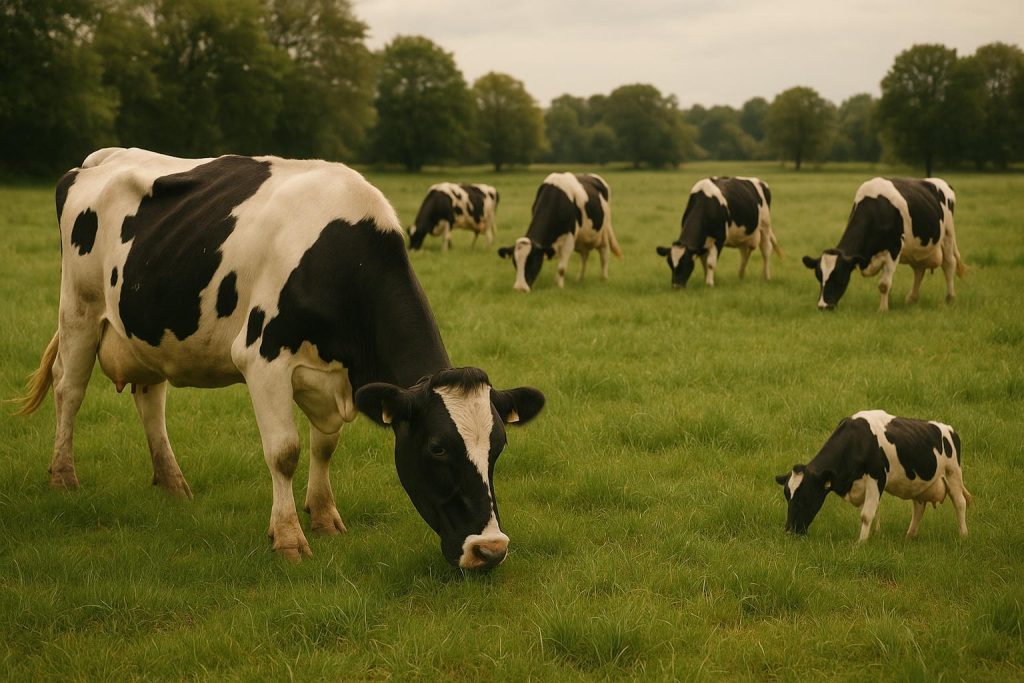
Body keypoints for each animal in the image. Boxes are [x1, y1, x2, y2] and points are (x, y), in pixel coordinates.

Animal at [15, 147, 545, 570]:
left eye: (498, 446)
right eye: (436, 447)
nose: (490, 550)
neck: (340, 259)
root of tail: (98, 159)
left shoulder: (329, 379)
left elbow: (324, 446)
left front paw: (325, 516)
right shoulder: (262, 360)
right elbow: (285, 451)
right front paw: (289, 538)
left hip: (147, 331)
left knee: (150, 401)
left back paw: (173, 483)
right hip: (79, 310)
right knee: (69, 390)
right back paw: (63, 476)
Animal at [775, 410, 971, 542]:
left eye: (805, 497)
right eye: (787, 496)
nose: (789, 530)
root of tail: (949, 429)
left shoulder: (877, 477)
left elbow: (866, 514)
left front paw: (861, 543)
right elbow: (872, 511)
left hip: (953, 472)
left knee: (960, 503)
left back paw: (963, 535)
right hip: (919, 485)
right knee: (918, 507)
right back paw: (909, 535)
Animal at [802, 177, 965, 311]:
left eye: (839, 276)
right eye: (819, 277)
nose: (823, 306)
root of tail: (940, 181)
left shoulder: (893, 249)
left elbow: (884, 284)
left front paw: (883, 309)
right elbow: (888, 283)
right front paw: (888, 304)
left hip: (948, 234)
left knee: (949, 264)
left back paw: (950, 298)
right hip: (916, 250)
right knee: (919, 270)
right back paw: (911, 299)